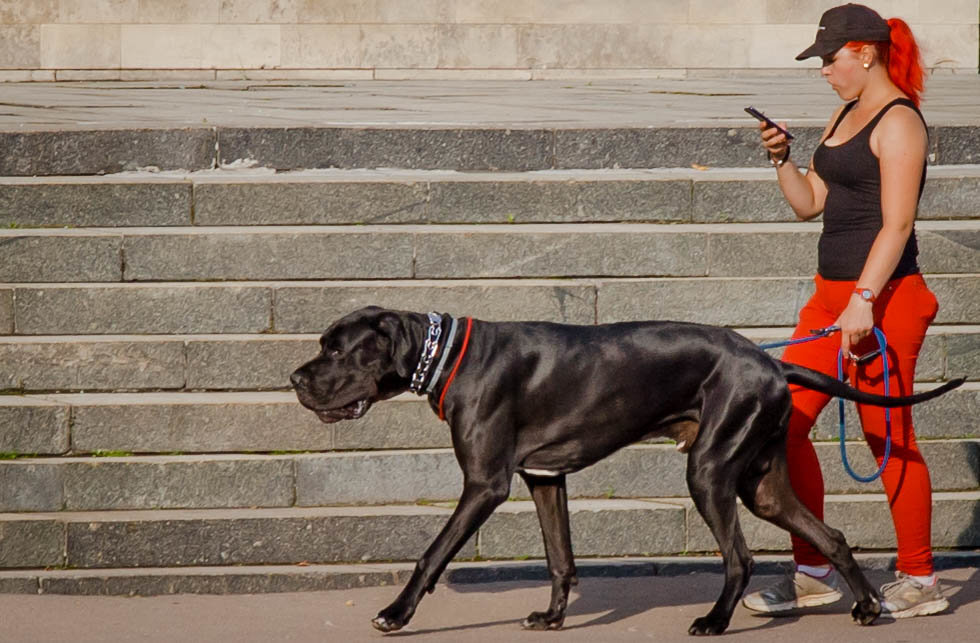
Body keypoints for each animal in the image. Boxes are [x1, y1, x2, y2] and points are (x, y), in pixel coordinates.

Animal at [290, 308, 964, 640]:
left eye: (336, 349)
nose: (295, 378)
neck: (449, 353)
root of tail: (770, 363)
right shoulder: (543, 478)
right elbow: (560, 557)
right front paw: (554, 618)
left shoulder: (485, 484)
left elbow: (432, 554)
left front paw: (396, 613)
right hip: (762, 484)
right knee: (832, 536)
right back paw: (869, 608)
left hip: (711, 469)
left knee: (740, 556)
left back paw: (715, 621)